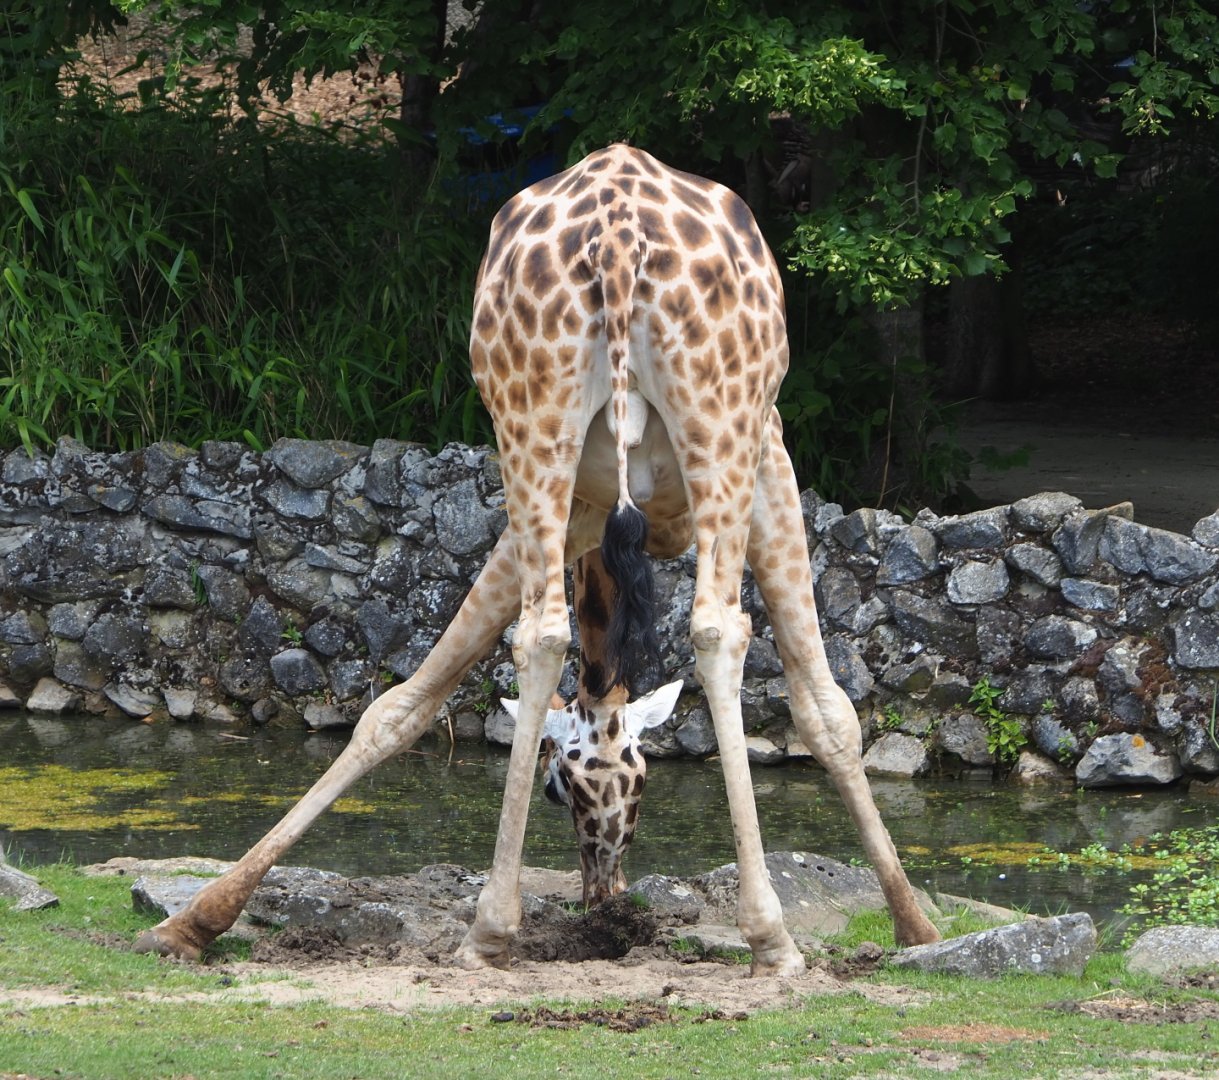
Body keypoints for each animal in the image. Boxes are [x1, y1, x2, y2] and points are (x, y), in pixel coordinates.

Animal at [135, 144, 939, 973]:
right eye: (564, 791)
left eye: (630, 784)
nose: (605, 894)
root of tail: (618, 237)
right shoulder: (754, 456)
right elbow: (826, 710)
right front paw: (917, 925)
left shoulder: (625, 502)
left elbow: (404, 704)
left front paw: (194, 921)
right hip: (698, 425)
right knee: (707, 629)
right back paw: (762, 939)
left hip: (547, 426)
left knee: (559, 632)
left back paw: (494, 930)